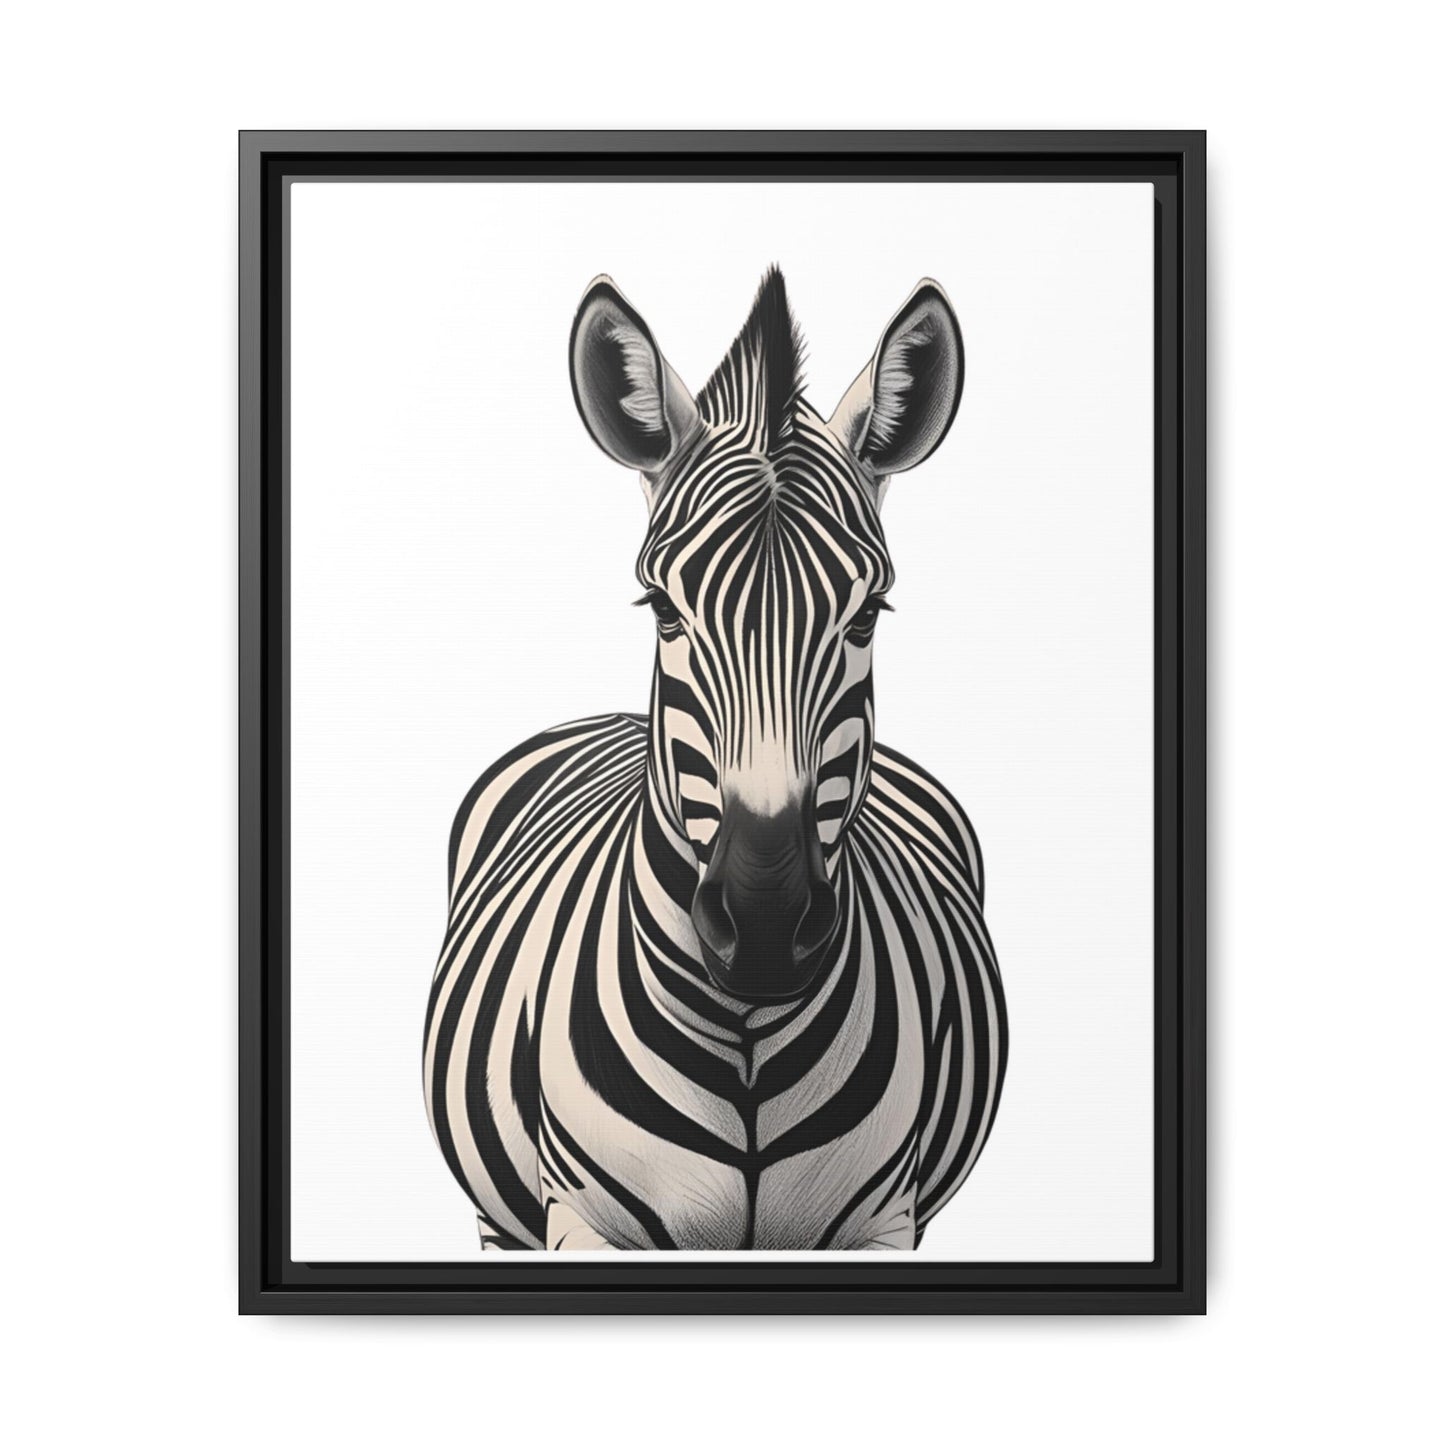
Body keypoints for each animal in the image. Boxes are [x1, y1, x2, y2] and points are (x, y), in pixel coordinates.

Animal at [424, 267, 1006, 1251]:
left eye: (866, 616)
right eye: (662, 608)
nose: (766, 925)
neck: (746, 1037)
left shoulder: (884, 1222)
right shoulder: (578, 1219)